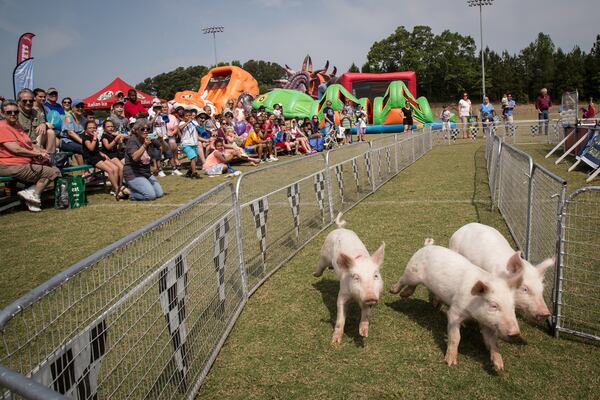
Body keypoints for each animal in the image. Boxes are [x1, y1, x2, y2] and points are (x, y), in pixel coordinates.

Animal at [314, 212, 384, 344]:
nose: (370, 297)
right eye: (356, 277)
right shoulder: (342, 293)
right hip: (324, 254)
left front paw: (363, 333)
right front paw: (334, 342)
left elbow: (366, 314)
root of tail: (340, 229)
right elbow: (340, 316)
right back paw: (315, 275)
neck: (355, 297)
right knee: (320, 265)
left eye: (376, 276)